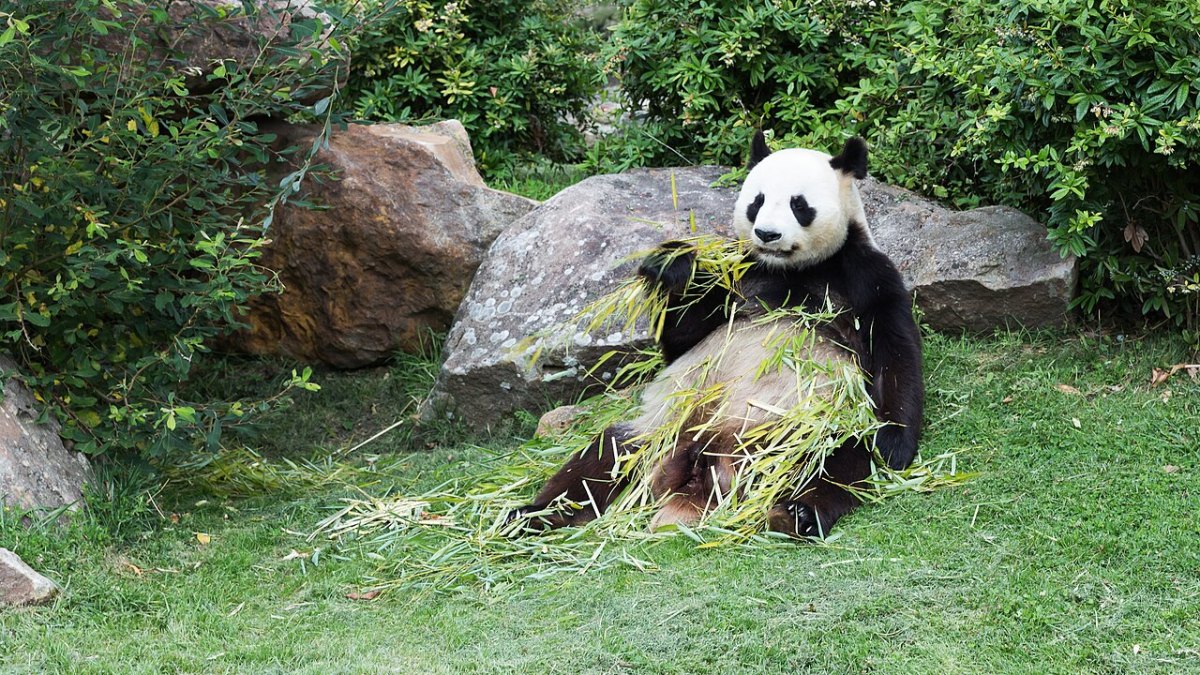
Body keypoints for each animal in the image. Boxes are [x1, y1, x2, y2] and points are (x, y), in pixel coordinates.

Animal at [508, 132, 924, 538]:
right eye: (757, 201)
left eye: (799, 204)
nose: (766, 234)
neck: (791, 269)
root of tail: (706, 466)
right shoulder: (739, 274)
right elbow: (684, 338)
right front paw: (672, 265)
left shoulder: (865, 275)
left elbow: (894, 353)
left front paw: (893, 444)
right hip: (662, 429)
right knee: (605, 454)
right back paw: (530, 515)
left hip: (806, 431)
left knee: (837, 462)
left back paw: (796, 513)